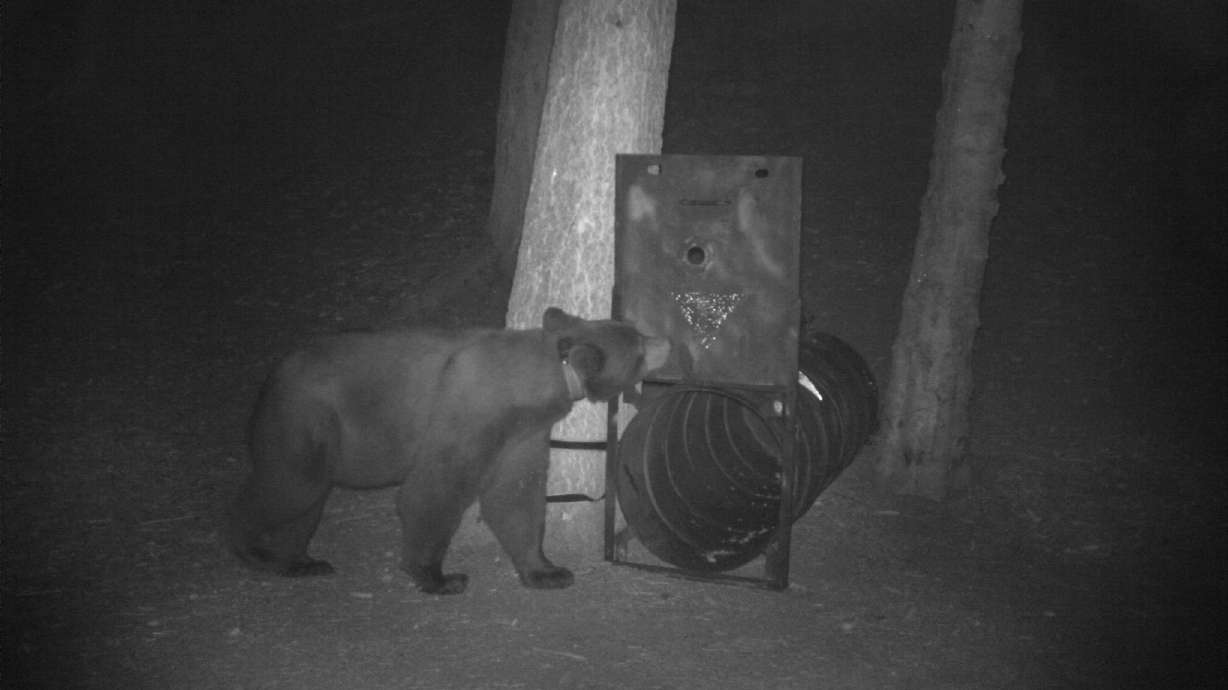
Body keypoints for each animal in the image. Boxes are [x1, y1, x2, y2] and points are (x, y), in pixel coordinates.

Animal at [227, 307, 670, 594]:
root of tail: (274, 374)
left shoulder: (522, 434)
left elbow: (516, 497)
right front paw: (439, 576)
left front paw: (548, 571)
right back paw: (252, 549)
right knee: (290, 487)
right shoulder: (472, 413)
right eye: (638, 345)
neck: (540, 383)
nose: (665, 339)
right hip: (304, 419)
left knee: (306, 503)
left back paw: (302, 561)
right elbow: (435, 489)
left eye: (633, 330)